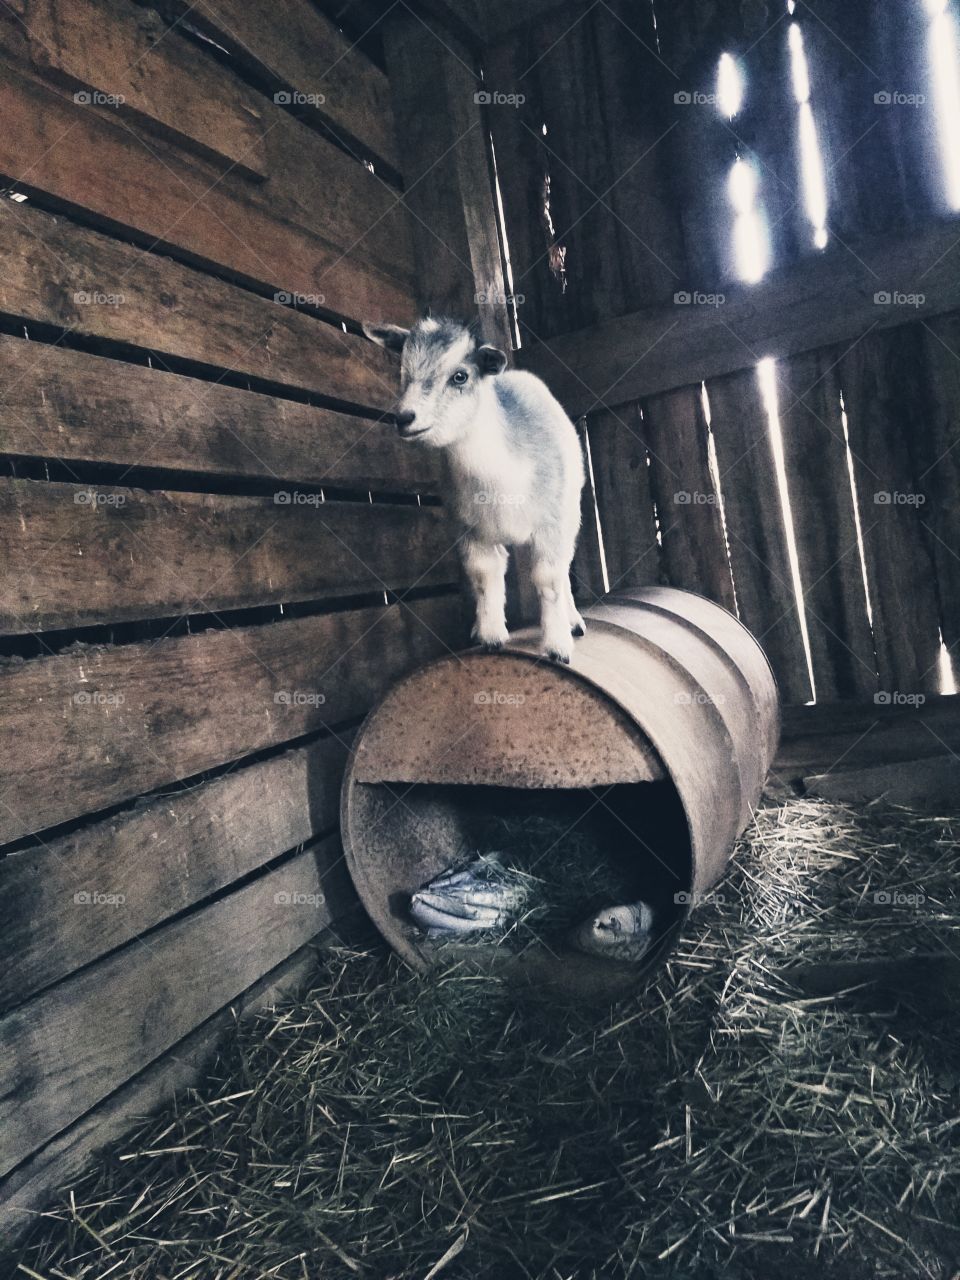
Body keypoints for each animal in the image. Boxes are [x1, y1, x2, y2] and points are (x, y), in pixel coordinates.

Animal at [364, 316, 586, 662]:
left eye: (460, 376)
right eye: (403, 371)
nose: (404, 418)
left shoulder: (552, 524)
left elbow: (548, 579)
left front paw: (557, 646)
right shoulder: (469, 530)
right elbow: (483, 575)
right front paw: (490, 636)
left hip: (570, 512)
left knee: (563, 570)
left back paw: (573, 621)